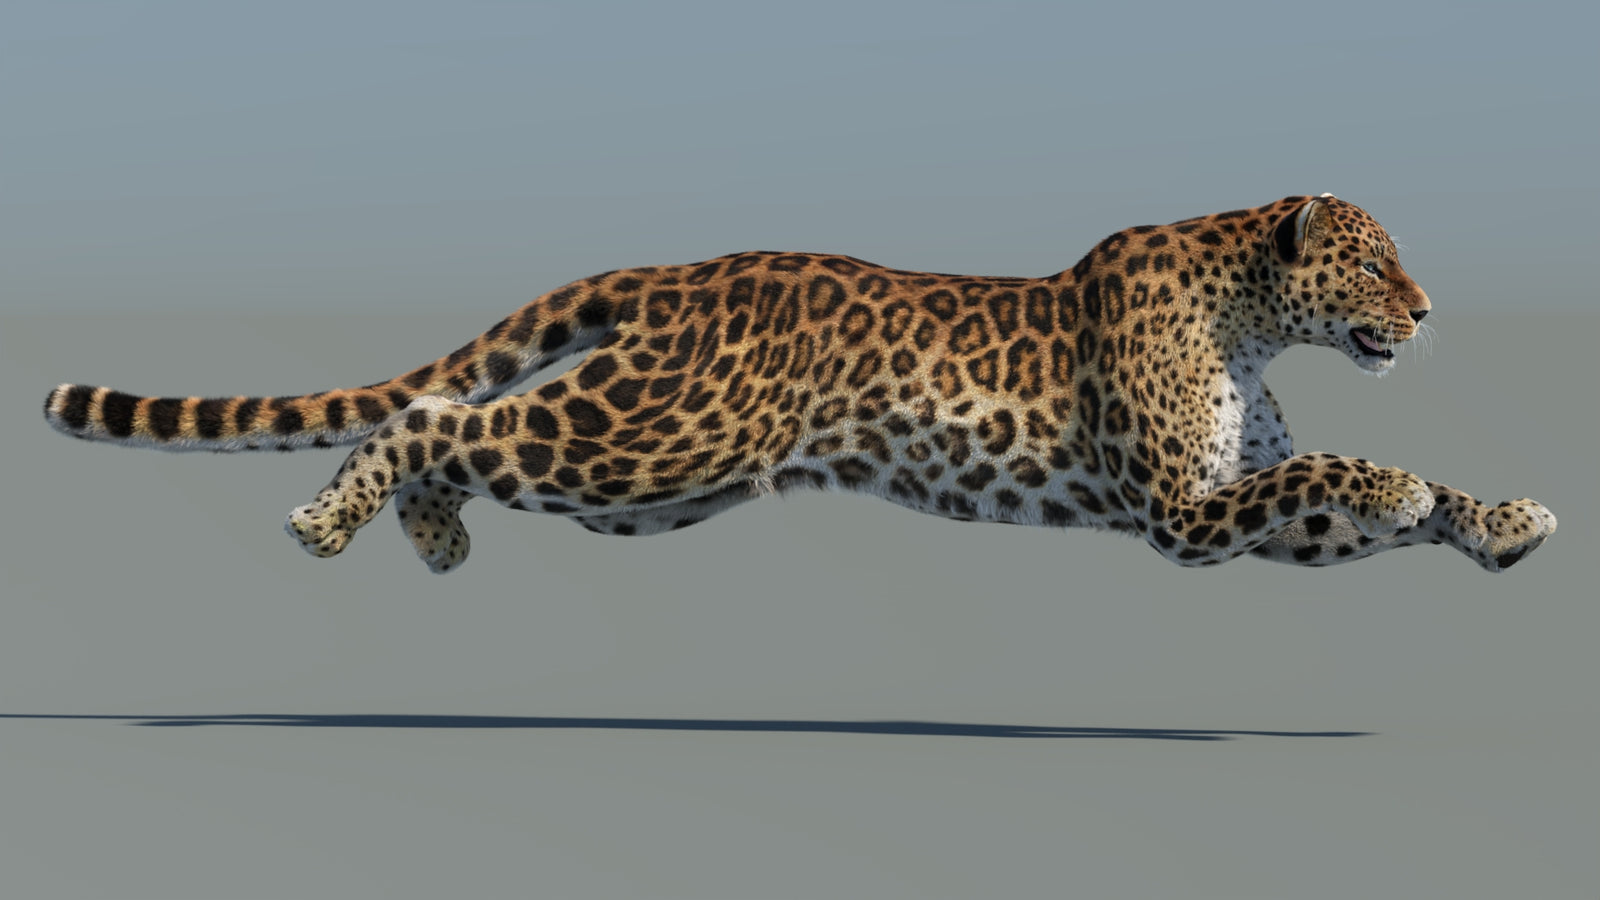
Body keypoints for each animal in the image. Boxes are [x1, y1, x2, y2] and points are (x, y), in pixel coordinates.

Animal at [43, 194, 1555, 574]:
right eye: (1373, 263)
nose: (1427, 310)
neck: (1247, 315)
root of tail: (676, 273)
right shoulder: (1183, 514)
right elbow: (1354, 469)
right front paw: (1410, 485)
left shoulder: (1236, 505)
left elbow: (1364, 496)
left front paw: (1500, 522)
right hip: (645, 441)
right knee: (439, 413)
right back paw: (336, 521)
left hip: (647, 488)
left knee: (464, 430)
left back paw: (430, 536)